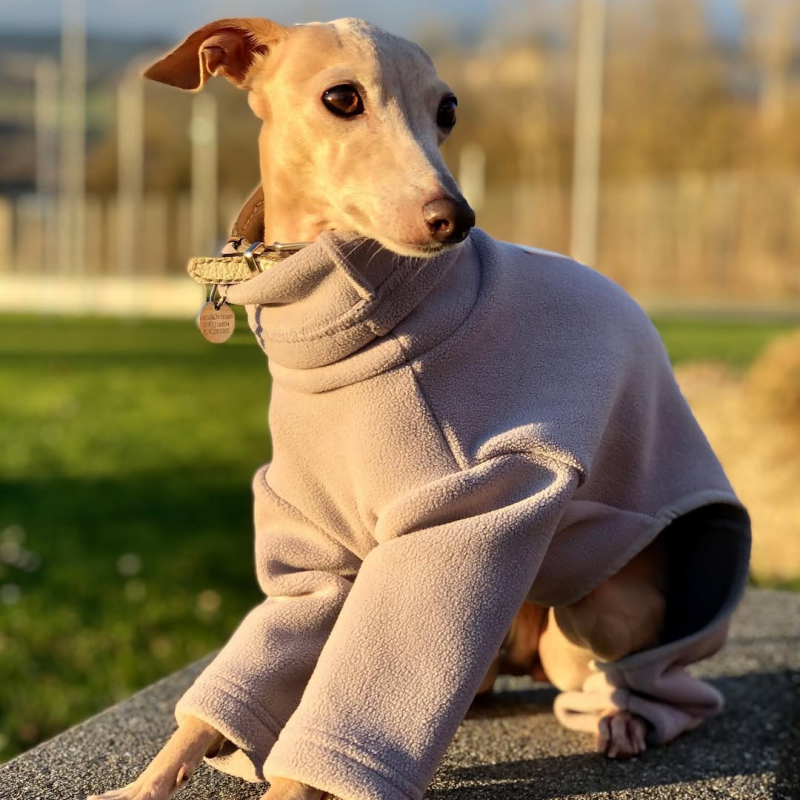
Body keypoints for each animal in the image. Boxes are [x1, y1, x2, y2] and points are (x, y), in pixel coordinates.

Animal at [88, 17, 750, 800]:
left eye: (449, 110)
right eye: (341, 97)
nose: (454, 218)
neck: (329, 321)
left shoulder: (469, 510)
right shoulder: (314, 541)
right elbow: (247, 670)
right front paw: (146, 781)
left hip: (594, 615)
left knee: (639, 679)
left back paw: (623, 714)